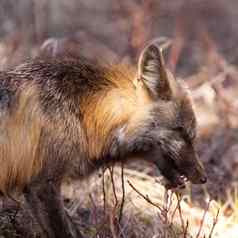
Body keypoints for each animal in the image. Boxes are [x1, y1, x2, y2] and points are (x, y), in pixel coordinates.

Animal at [0, 38, 206, 236]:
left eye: (191, 135)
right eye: (181, 131)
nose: (203, 178)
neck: (83, 114)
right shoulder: (42, 184)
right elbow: (65, 232)